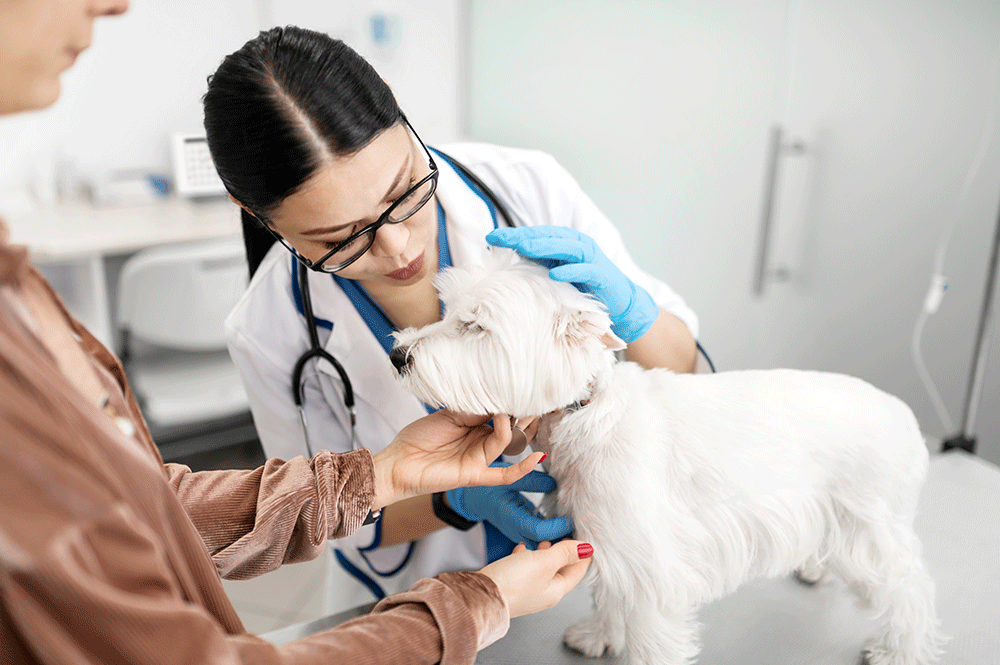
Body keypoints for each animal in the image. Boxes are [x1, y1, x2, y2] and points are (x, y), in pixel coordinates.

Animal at [390, 249, 944, 664]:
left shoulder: (651, 563)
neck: (584, 414)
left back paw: (900, 651)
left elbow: (648, 630)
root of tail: (904, 416)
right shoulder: (604, 540)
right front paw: (597, 637)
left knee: (911, 589)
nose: (398, 355)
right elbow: (609, 595)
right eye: (447, 310)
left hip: (872, 526)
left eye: (475, 326)